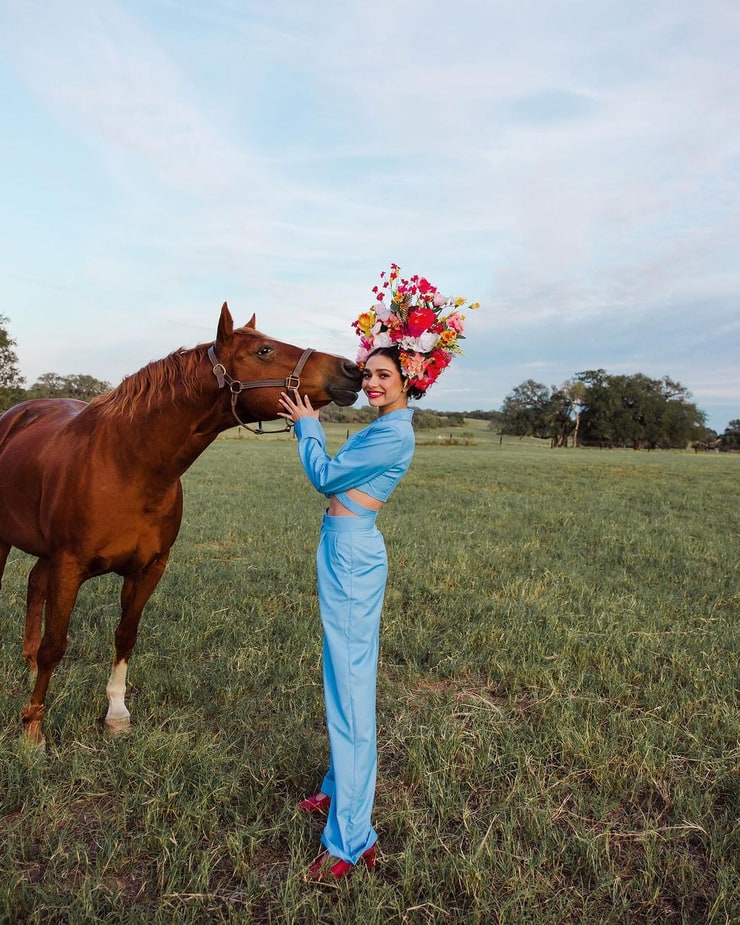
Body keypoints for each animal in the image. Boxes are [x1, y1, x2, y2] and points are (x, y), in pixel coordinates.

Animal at [0, 304, 360, 744]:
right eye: (264, 350)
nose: (352, 369)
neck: (126, 464)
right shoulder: (69, 566)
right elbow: (56, 644)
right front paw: (33, 726)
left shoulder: (149, 568)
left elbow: (125, 635)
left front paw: (116, 713)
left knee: (34, 584)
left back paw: (29, 658)